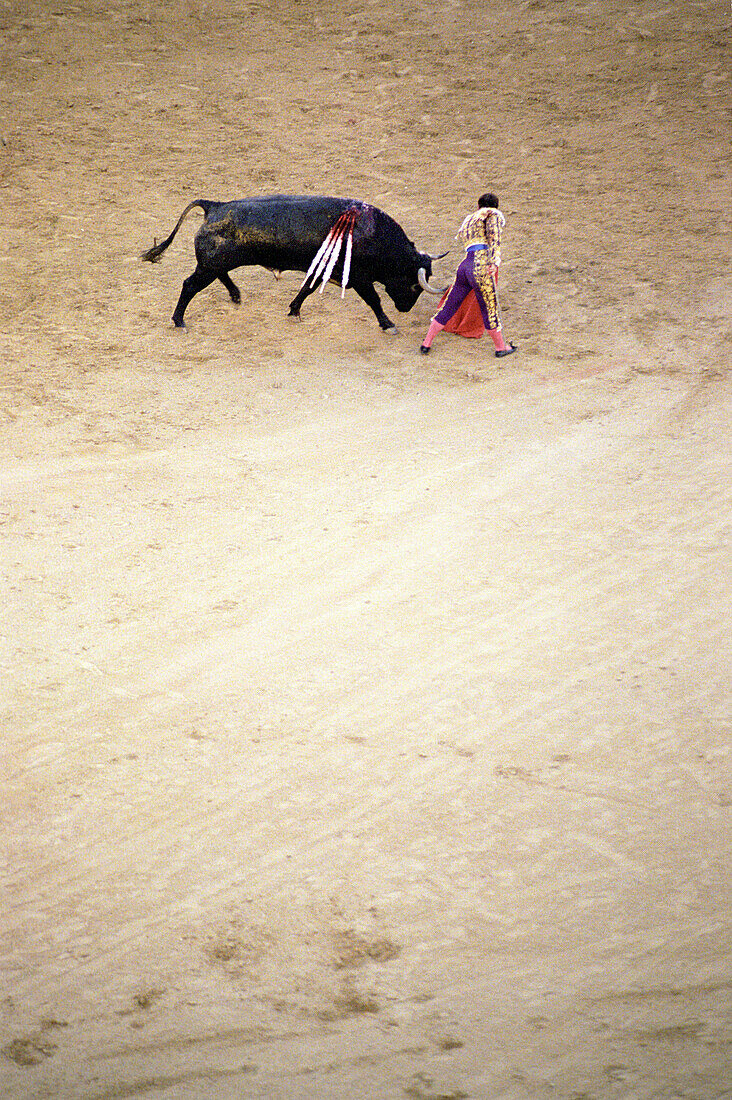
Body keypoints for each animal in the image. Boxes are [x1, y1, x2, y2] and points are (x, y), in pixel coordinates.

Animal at [139, 193, 442, 330]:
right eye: (414, 286)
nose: (405, 309)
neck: (374, 235)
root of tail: (215, 205)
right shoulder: (358, 277)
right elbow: (374, 300)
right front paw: (388, 324)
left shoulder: (323, 268)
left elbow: (307, 288)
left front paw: (294, 310)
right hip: (209, 266)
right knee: (189, 285)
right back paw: (179, 320)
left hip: (215, 264)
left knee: (220, 276)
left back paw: (236, 295)